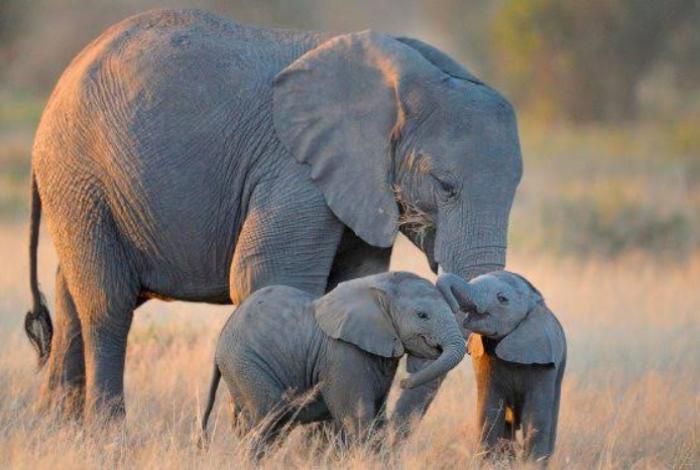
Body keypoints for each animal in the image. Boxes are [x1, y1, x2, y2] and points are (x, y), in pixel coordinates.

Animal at [24, 8, 522, 420]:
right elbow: (266, 276)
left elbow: (351, 283)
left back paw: (56, 432)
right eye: (444, 186)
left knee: (71, 298)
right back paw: (107, 435)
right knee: (107, 305)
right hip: (79, 176)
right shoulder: (294, 170)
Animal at [200, 272, 465, 452]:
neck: (378, 286)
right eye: (422, 315)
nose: (404, 382)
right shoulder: (343, 355)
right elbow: (358, 418)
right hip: (246, 364)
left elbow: (378, 418)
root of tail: (220, 341)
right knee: (268, 419)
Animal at [436, 271, 566, 462]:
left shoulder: (544, 362)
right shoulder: (484, 358)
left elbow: (536, 419)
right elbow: (489, 412)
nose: (453, 307)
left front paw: (531, 464)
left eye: (502, 299)